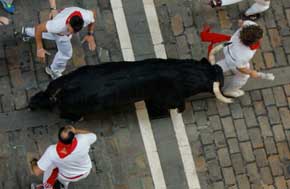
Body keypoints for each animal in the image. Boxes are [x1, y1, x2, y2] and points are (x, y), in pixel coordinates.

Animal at [30, 56, 233, 120]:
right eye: (212, 81)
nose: (220, 70)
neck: (184, 74)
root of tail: (62, 87)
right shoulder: (166, 100)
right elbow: (173, 106)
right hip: (75, 108)